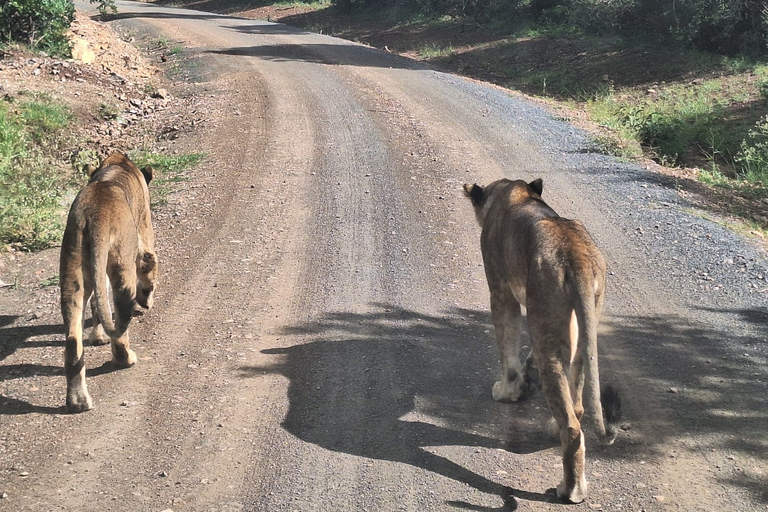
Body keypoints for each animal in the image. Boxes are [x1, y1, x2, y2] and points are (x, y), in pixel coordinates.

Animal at [59, 151, 159, 412]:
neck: (116, 166)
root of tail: (95, 216)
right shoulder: (144, 228)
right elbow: (149, 265)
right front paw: (146, 301)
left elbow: (98, 303)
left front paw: (97, 337)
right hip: (121, 263)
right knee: (121, 320)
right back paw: (125, 359)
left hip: (72, 271)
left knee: (73, 339)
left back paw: (78, 401)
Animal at [464, 178, 620, 502]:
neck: (515, 191)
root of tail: (577, 256)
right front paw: (526, 378)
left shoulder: (501, 291)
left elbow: (508, 350)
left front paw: (507, 392)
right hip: (581, 327)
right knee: (577, 407)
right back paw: (554, 429)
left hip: (546, 327)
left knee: (572, 426)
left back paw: (570, 490)